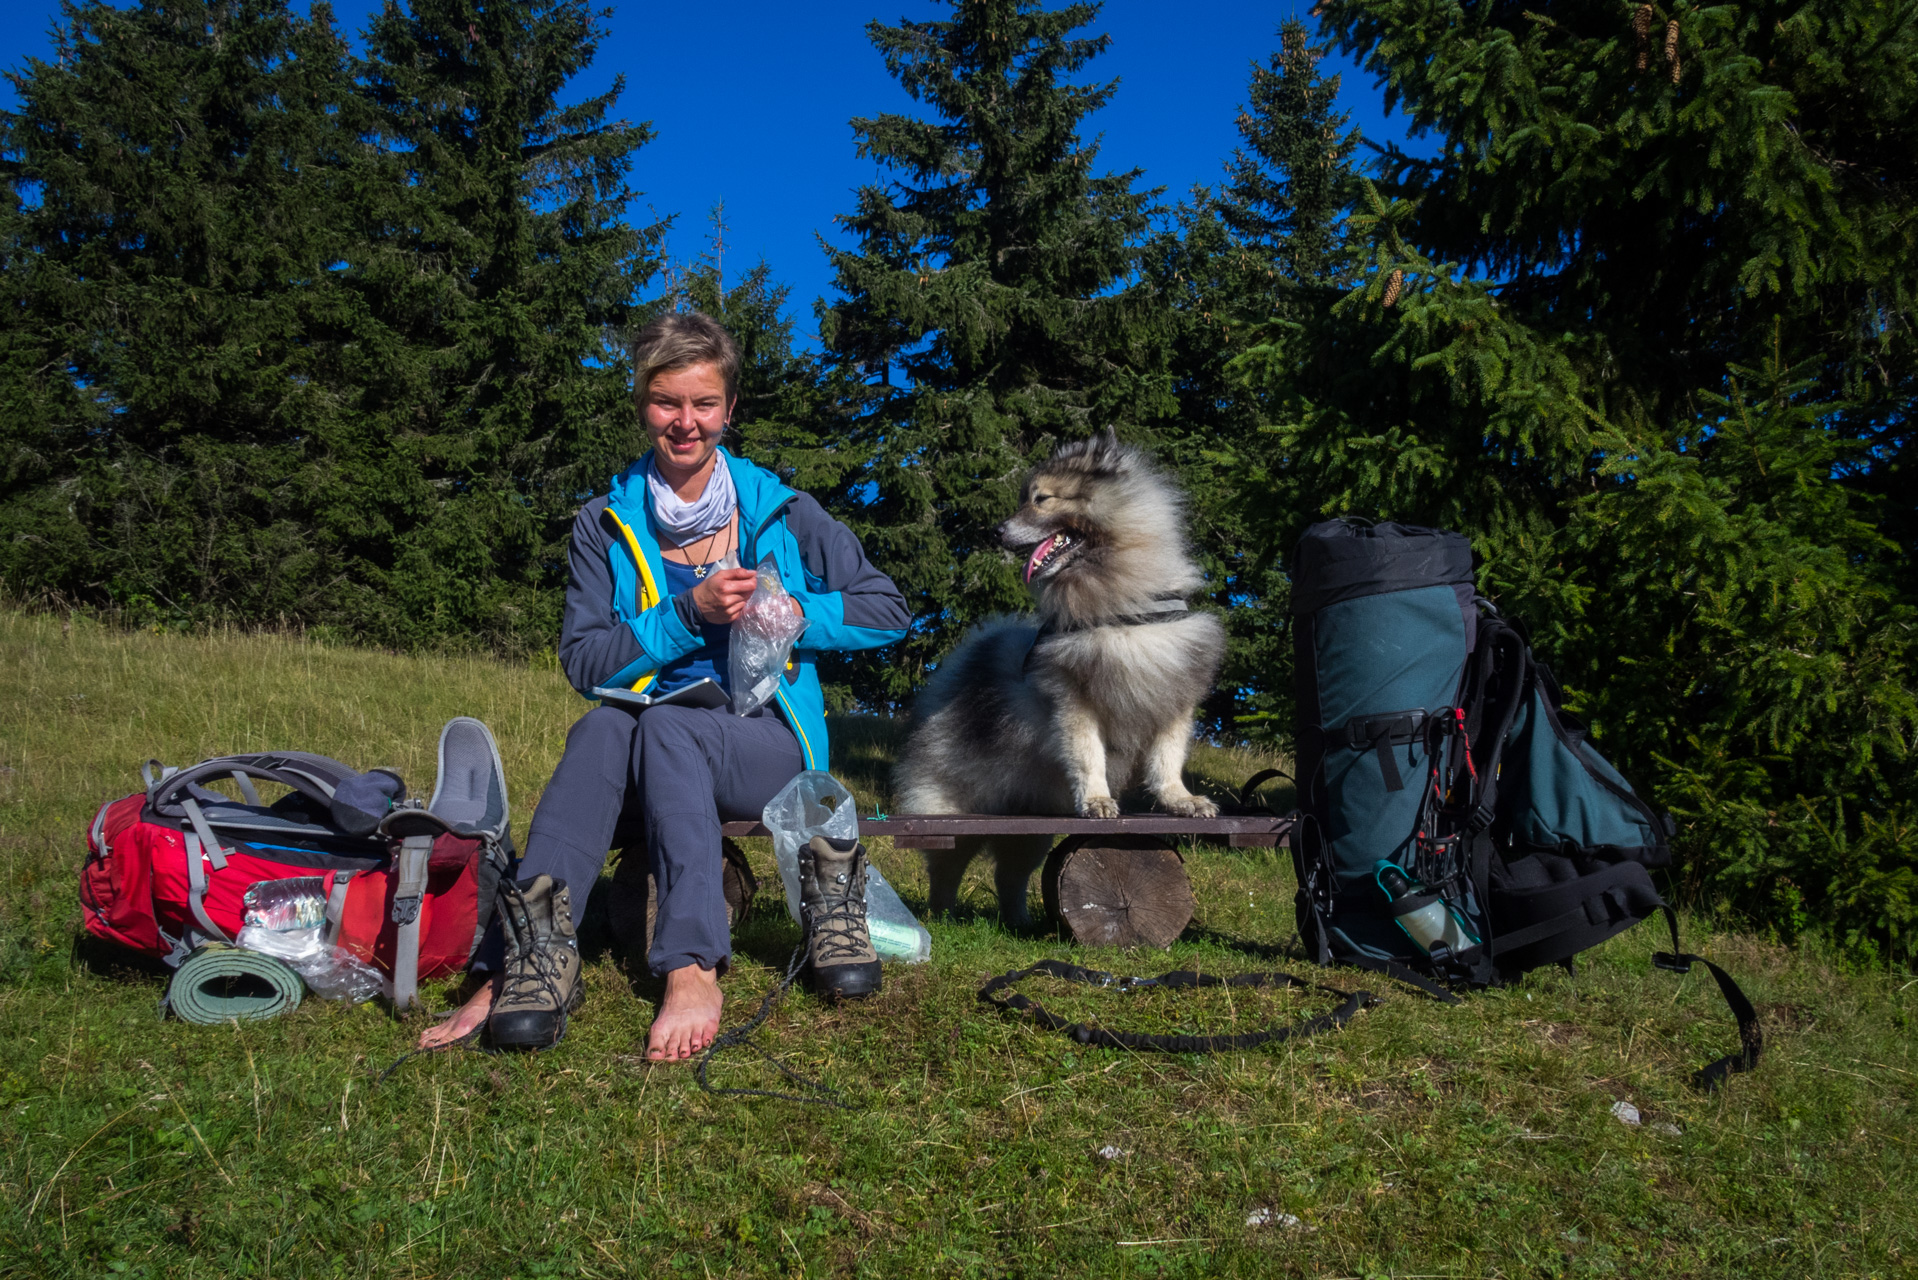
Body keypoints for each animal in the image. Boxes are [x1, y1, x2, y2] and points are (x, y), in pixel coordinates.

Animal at [886, 429, 1219, 921]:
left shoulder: (1172, 695)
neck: (1119, 603)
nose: (996, 531)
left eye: (1041, 500)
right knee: (947, 865)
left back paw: (1019, 922)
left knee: (1010, 874)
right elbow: (1088, 756)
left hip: (1031, 827)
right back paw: (942, 916)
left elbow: (1167, 760)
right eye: (1023, 499)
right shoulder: (1074, 700)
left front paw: (1182, 801)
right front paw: (1098, 801)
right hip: (952, 811)